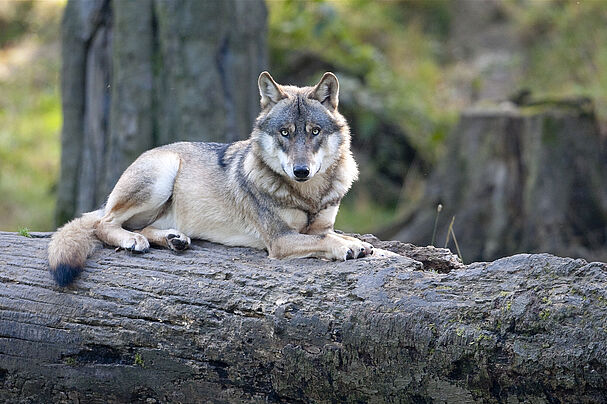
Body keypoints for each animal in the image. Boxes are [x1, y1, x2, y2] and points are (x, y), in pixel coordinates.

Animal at [50, 72, 376, 288]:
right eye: (285, 133)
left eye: (314, 132)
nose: (301, 171)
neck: (308, 194)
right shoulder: (279, 240)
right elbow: (326, 239)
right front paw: (347, 247)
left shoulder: (322, 223)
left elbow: (332, 233)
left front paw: (359, 244)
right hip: (161, 174)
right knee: (102, 224)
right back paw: (134, 241)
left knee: (139, 227)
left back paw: (174, 239)